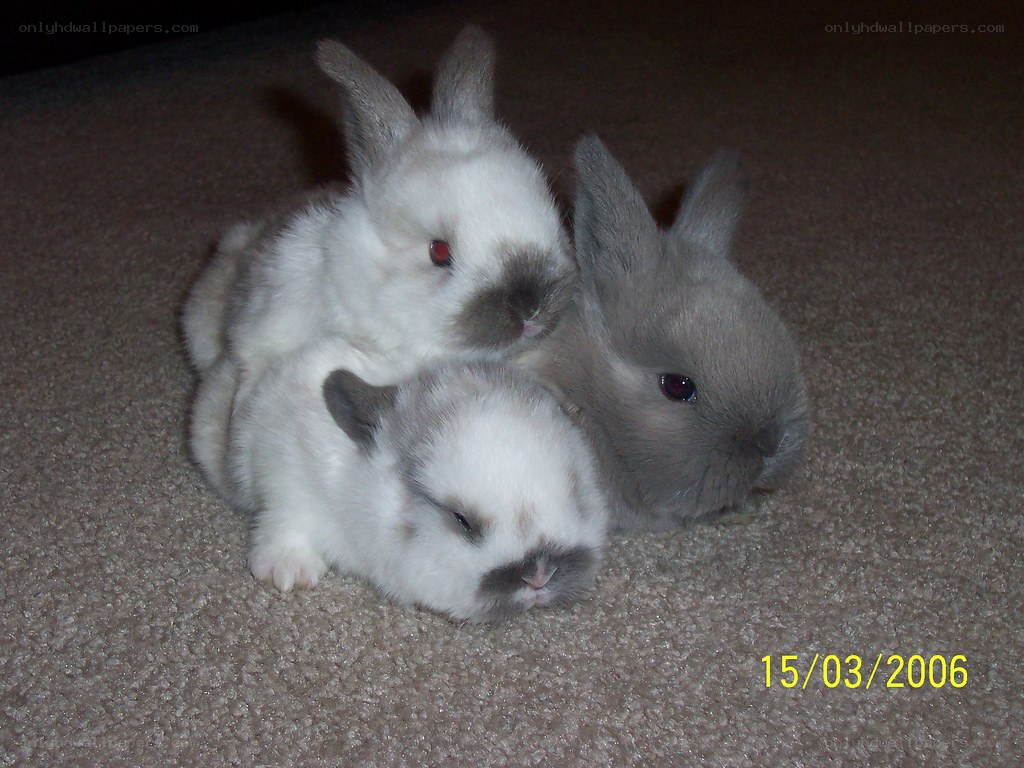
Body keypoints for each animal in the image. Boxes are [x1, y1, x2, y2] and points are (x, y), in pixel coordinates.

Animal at [207, 341, 609, 623]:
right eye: (461, 520)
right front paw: (288, 573)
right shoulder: (286, 477)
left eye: (576, 495)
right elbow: (284, 521)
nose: (539, 575)